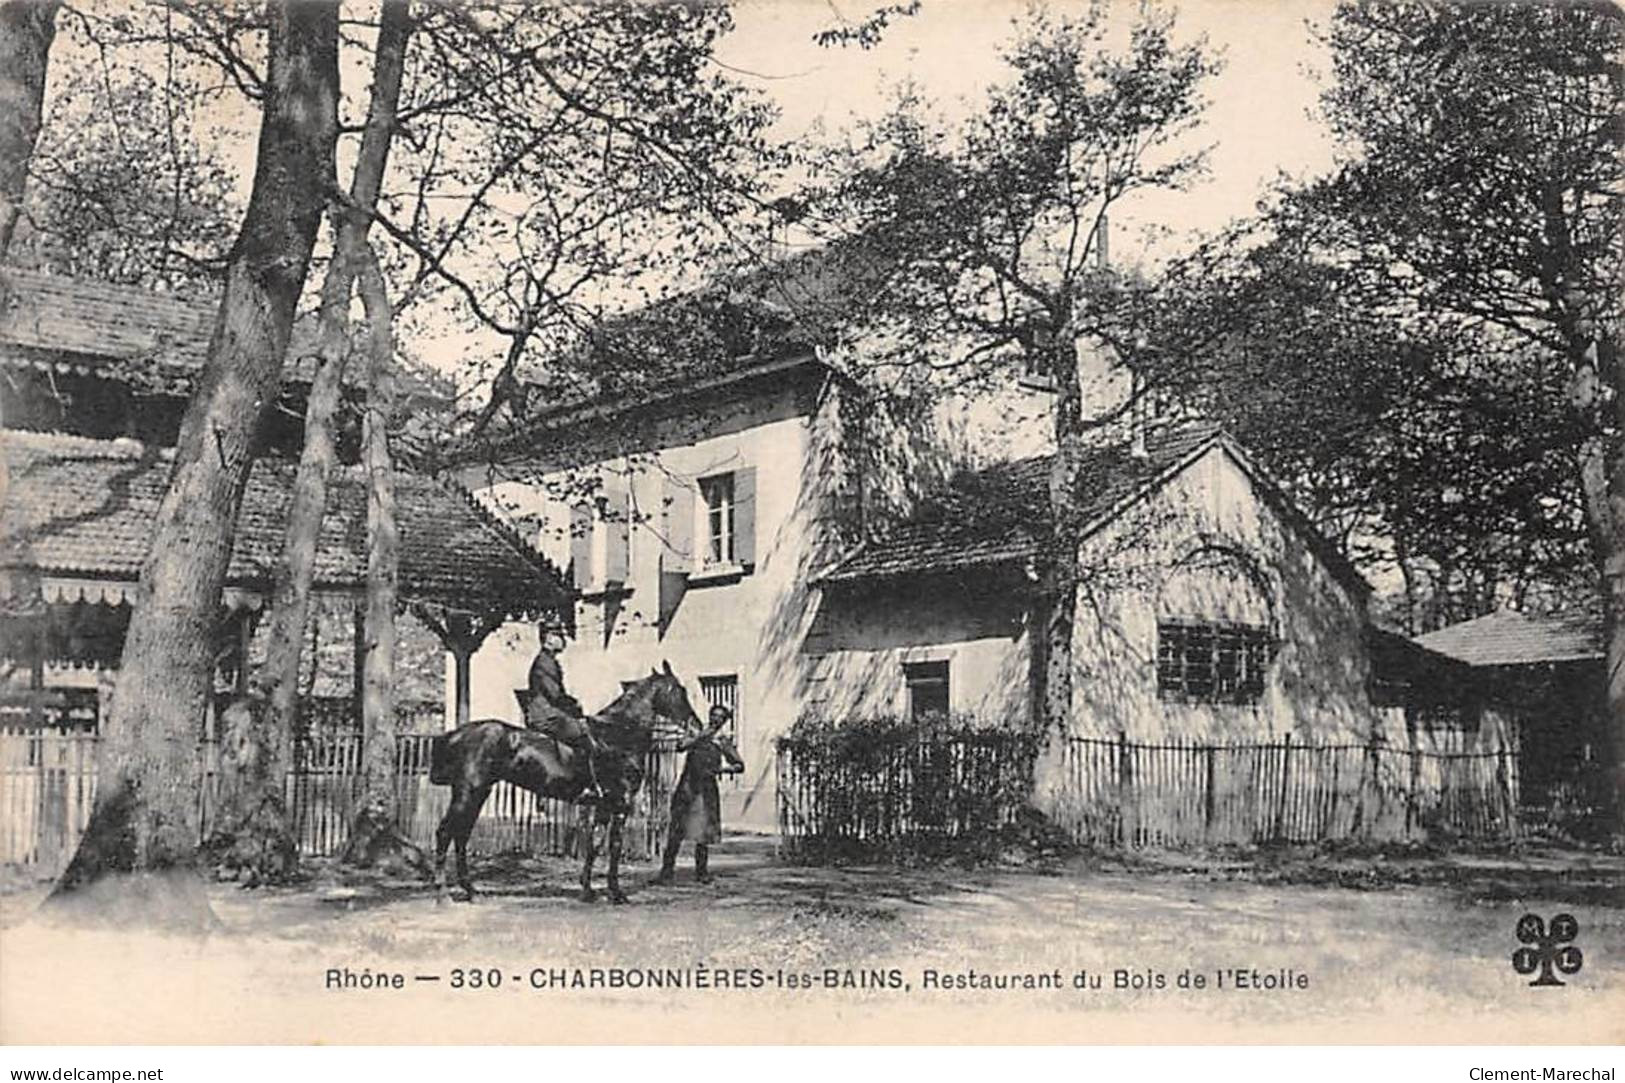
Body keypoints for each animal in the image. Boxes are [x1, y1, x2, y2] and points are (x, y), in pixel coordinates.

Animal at [425, 656, 698, 904]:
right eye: (680, 690)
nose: (696, 725)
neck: (619, 736)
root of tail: (458, 734)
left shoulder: (604, 806)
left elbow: (594, 845)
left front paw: (588, 890)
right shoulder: (621, 803)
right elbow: (614, 846)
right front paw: (616, 893)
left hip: (479, 794)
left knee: (461, 836)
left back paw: (471, 891)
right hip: (467, 793)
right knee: (445, 833)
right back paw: (442, 894)